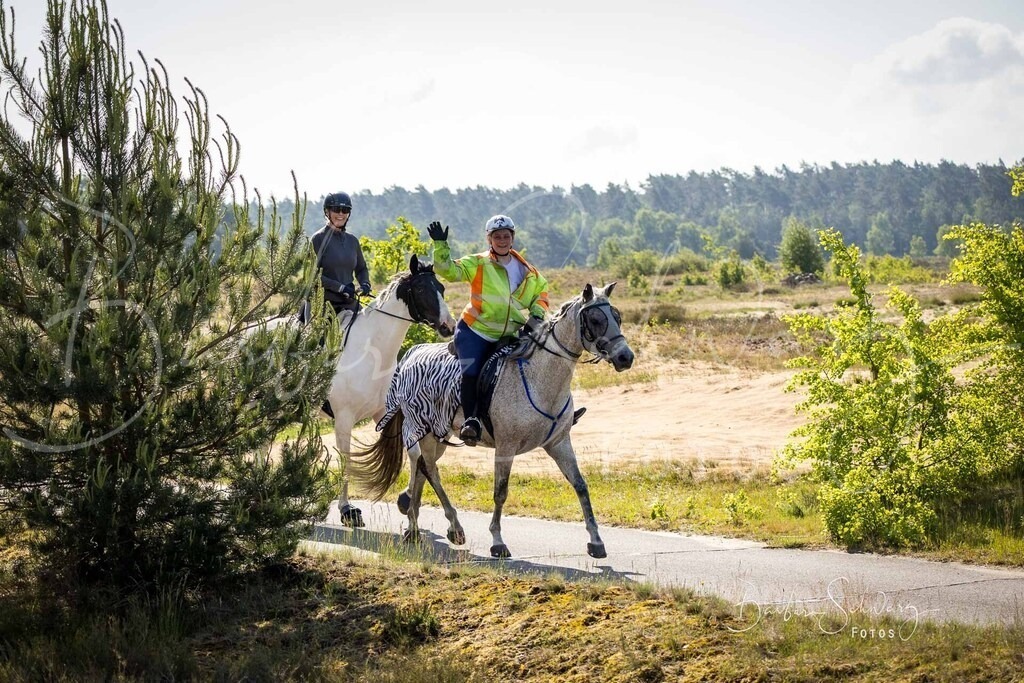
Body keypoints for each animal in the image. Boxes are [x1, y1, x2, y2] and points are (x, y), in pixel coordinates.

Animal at [349, 282, 633, 558]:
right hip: (423, 429)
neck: (539, 378)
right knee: (429, 470)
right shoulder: (506, 447)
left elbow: (580, 485)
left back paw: (414, 527)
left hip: (439, 434)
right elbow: (500, 492)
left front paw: (596, 541)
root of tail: (410, 355)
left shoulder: (559, 443)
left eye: (618, 317)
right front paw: (497, 542)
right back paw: (453, 527)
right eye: (595, 319)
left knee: (422, 468)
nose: (625, 357)